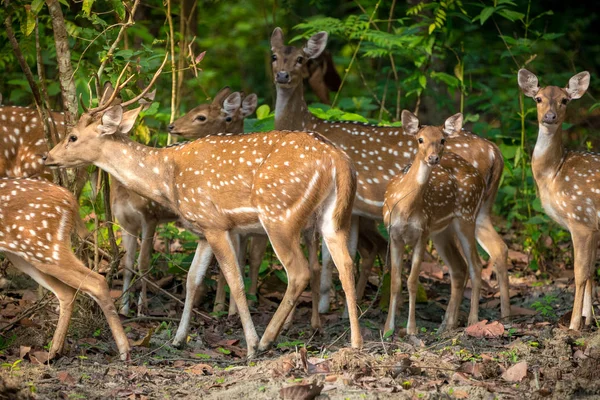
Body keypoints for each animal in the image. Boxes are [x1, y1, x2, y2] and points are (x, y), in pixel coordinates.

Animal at [0, 178, 130, 360]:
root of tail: (70, 199)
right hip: (26, 255)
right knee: (67, 292)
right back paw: (54, 351)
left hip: (42, 247)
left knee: (97, 281)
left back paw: (124, 351)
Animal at [44, 73, 364, 358]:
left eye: (72, 136)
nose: (48, 156)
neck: (166, 180)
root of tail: (337, 159)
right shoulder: (201, 230)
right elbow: (192, 280)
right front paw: (178, 338)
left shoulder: (215, 223)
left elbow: (234, 280)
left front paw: (249, 344)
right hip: (334, 217)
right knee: (346, 264)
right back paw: (355, 342)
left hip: (279, 213)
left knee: (299, 272)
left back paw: (266, 341)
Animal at [384, 111, 488, 334]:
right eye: (420, 139)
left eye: (442, 140)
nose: (433, 158)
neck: (405, 207)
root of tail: (479, 177)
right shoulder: (394, 234)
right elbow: (395, 282)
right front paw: (388, 328)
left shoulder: (422, 233)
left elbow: (412, 281)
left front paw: (411, 329)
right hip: (441, 232)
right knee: (459, 267)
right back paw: (447, 324)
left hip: (466, 216)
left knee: (476, 265)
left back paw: (473, 321)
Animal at [516, 69, 596, 332]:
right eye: (538, 98)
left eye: (565, 100)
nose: (550, 116)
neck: (554, 174)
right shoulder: (592, 226)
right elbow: (591, 272)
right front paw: (588, 320)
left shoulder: (580, 219)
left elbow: (579, 273)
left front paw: (573, 325)